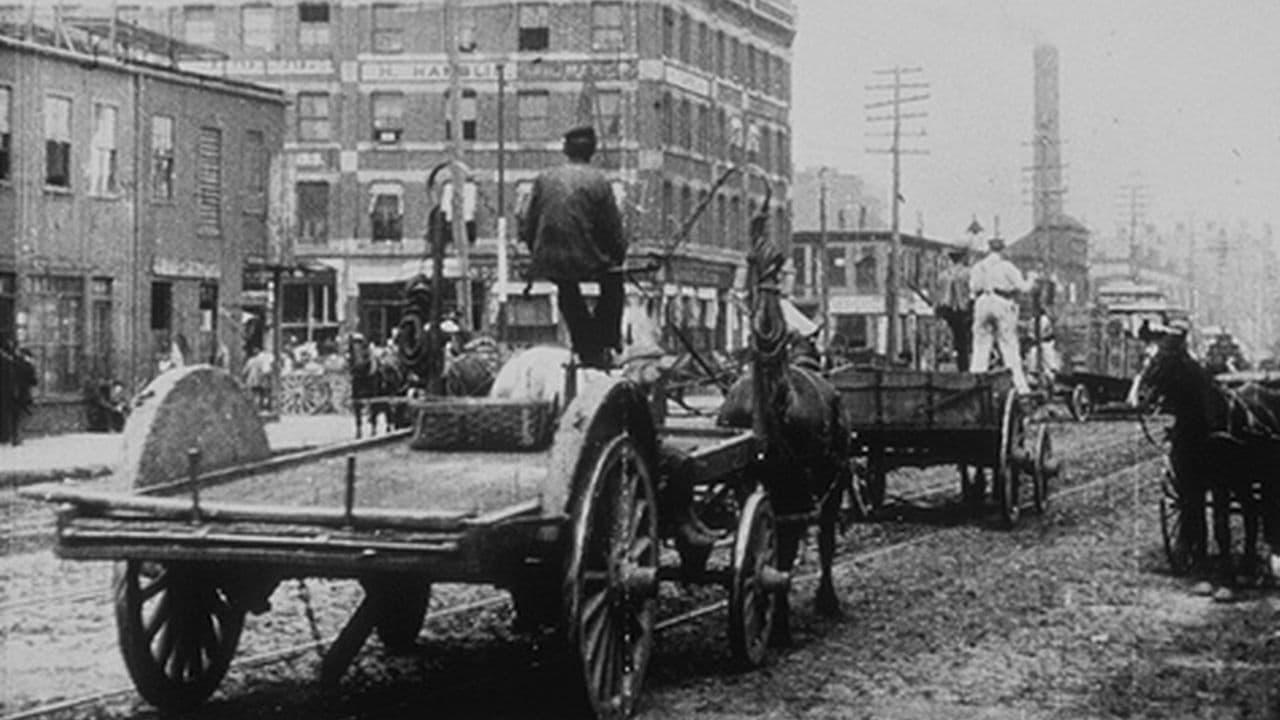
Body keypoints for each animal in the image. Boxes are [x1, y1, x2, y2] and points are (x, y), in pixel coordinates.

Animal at [721, 198, 849, 635]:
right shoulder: (829, 485)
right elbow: (823, 541)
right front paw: (825, 599)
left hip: (752, 482)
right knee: (786, 543)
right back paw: (779, 620)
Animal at [1136, 324, 1280, 594]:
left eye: (1167, 357)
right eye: (1143, 356)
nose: (1140, 397)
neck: (1201, 424)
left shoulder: (1220, 482)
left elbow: (1221, 527)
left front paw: (1225, 581)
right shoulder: (1190, 481)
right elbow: (1198, 524)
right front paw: (1202, 575)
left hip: (1261, 477)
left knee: (1262, 511)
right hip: (1243, 480)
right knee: (1251, 512)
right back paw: (1247, 567)